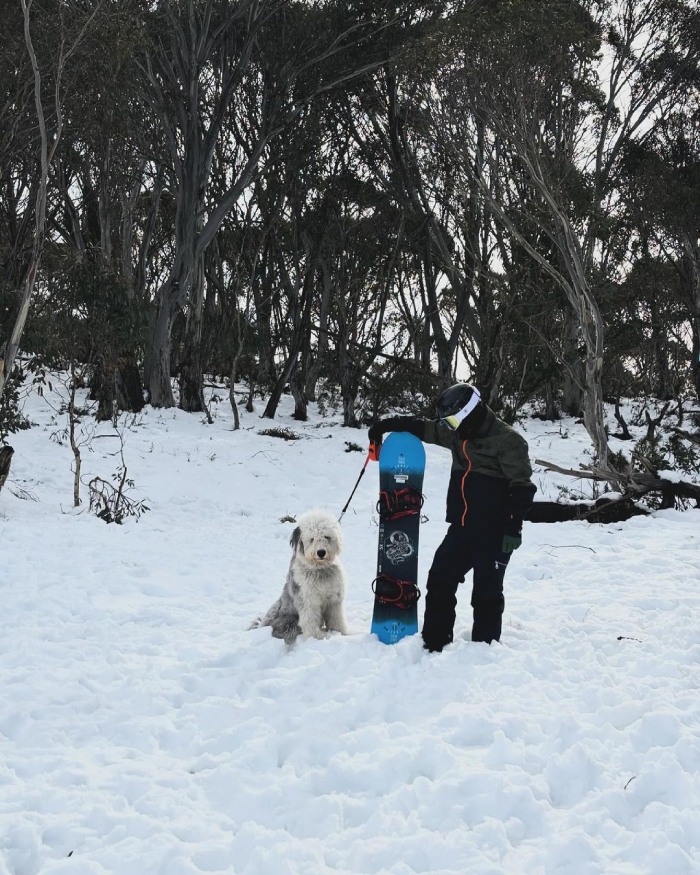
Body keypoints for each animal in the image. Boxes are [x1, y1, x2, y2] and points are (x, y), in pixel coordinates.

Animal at [252, 510, 350, 648]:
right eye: (312, 539)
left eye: (326, 536)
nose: (321, 552)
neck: (320, 570)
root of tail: (262, 624)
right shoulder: (307, 599)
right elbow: (310, 619)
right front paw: (317, 637)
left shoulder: (334, 599)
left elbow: (337, 618)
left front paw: (341, 633)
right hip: (289, 621)